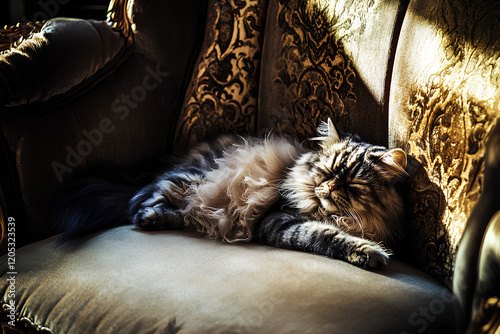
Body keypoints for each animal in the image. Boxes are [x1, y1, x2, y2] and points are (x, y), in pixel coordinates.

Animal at [56, 120, 406, 268]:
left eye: (352, 184)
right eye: (328, 172)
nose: (330, 187)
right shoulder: (278, 219)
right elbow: (322, 235)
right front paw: (370, 253)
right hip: (190, 178)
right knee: (139, 203)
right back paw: (149, 217)